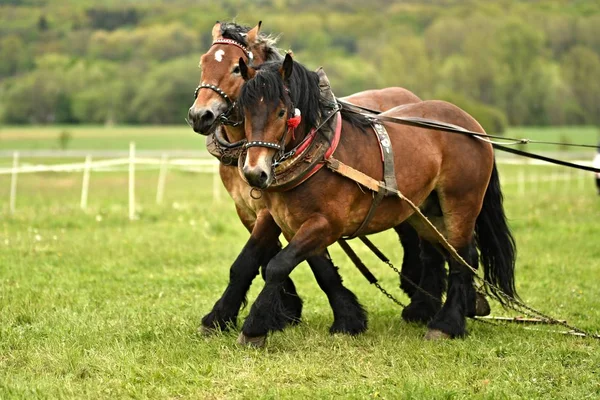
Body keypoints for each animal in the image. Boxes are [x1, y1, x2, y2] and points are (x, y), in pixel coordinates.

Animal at [185, 21, 438, 334]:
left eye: (236, 67)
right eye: (203, 63)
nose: (200, 115)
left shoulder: (293, 213)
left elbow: (289, 262)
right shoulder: (251, 211)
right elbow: (262, 259)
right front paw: (284, 310)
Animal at [237, 54, 516, 346]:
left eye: (282, 112)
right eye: (244, 112)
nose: (255, 173)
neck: (320, 155)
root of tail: (472, 125)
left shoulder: (326, 224)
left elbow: (277, 266)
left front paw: (254, 328)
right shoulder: (288, 223)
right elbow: (319, 272)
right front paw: (348, 320)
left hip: (461, 202)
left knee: (462, 257)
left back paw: (446, 324)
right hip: (426, 210)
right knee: (444, 253)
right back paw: (431, 310)